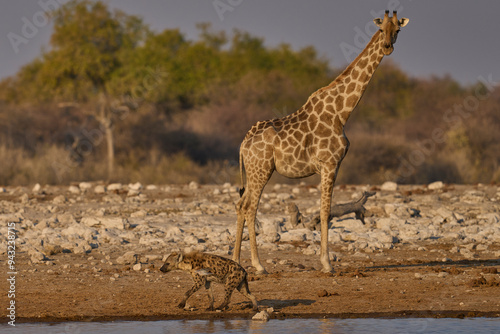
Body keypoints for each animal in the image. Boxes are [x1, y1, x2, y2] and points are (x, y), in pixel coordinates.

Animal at [232, 11, 408, 274]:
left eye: (397, 30)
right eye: (380, 29)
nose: (387, 47)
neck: (341, 112)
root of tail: (244, 144)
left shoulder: (332, 165)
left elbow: (325, 211)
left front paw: (326, 260)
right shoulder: (329, 164)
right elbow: (325, 212)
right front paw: (327, 263)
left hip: (254, 172)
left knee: (240, 204)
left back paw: (235, 260)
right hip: (261, 170)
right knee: (249, 207)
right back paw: (258, 265)